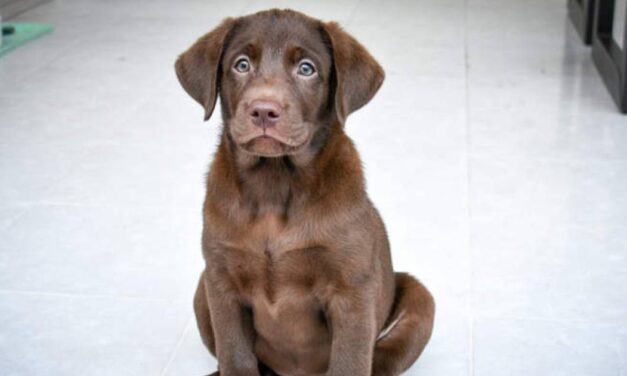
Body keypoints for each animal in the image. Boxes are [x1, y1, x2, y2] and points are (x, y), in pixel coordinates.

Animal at [174, 8, 434, 376]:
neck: (275, 184)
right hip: (202, 286)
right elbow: (236, 356)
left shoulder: (351, 291)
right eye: (241, 64)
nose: (263, 110)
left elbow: (349, 362)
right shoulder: (221, 281)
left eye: (306, 69)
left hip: (420, 299)